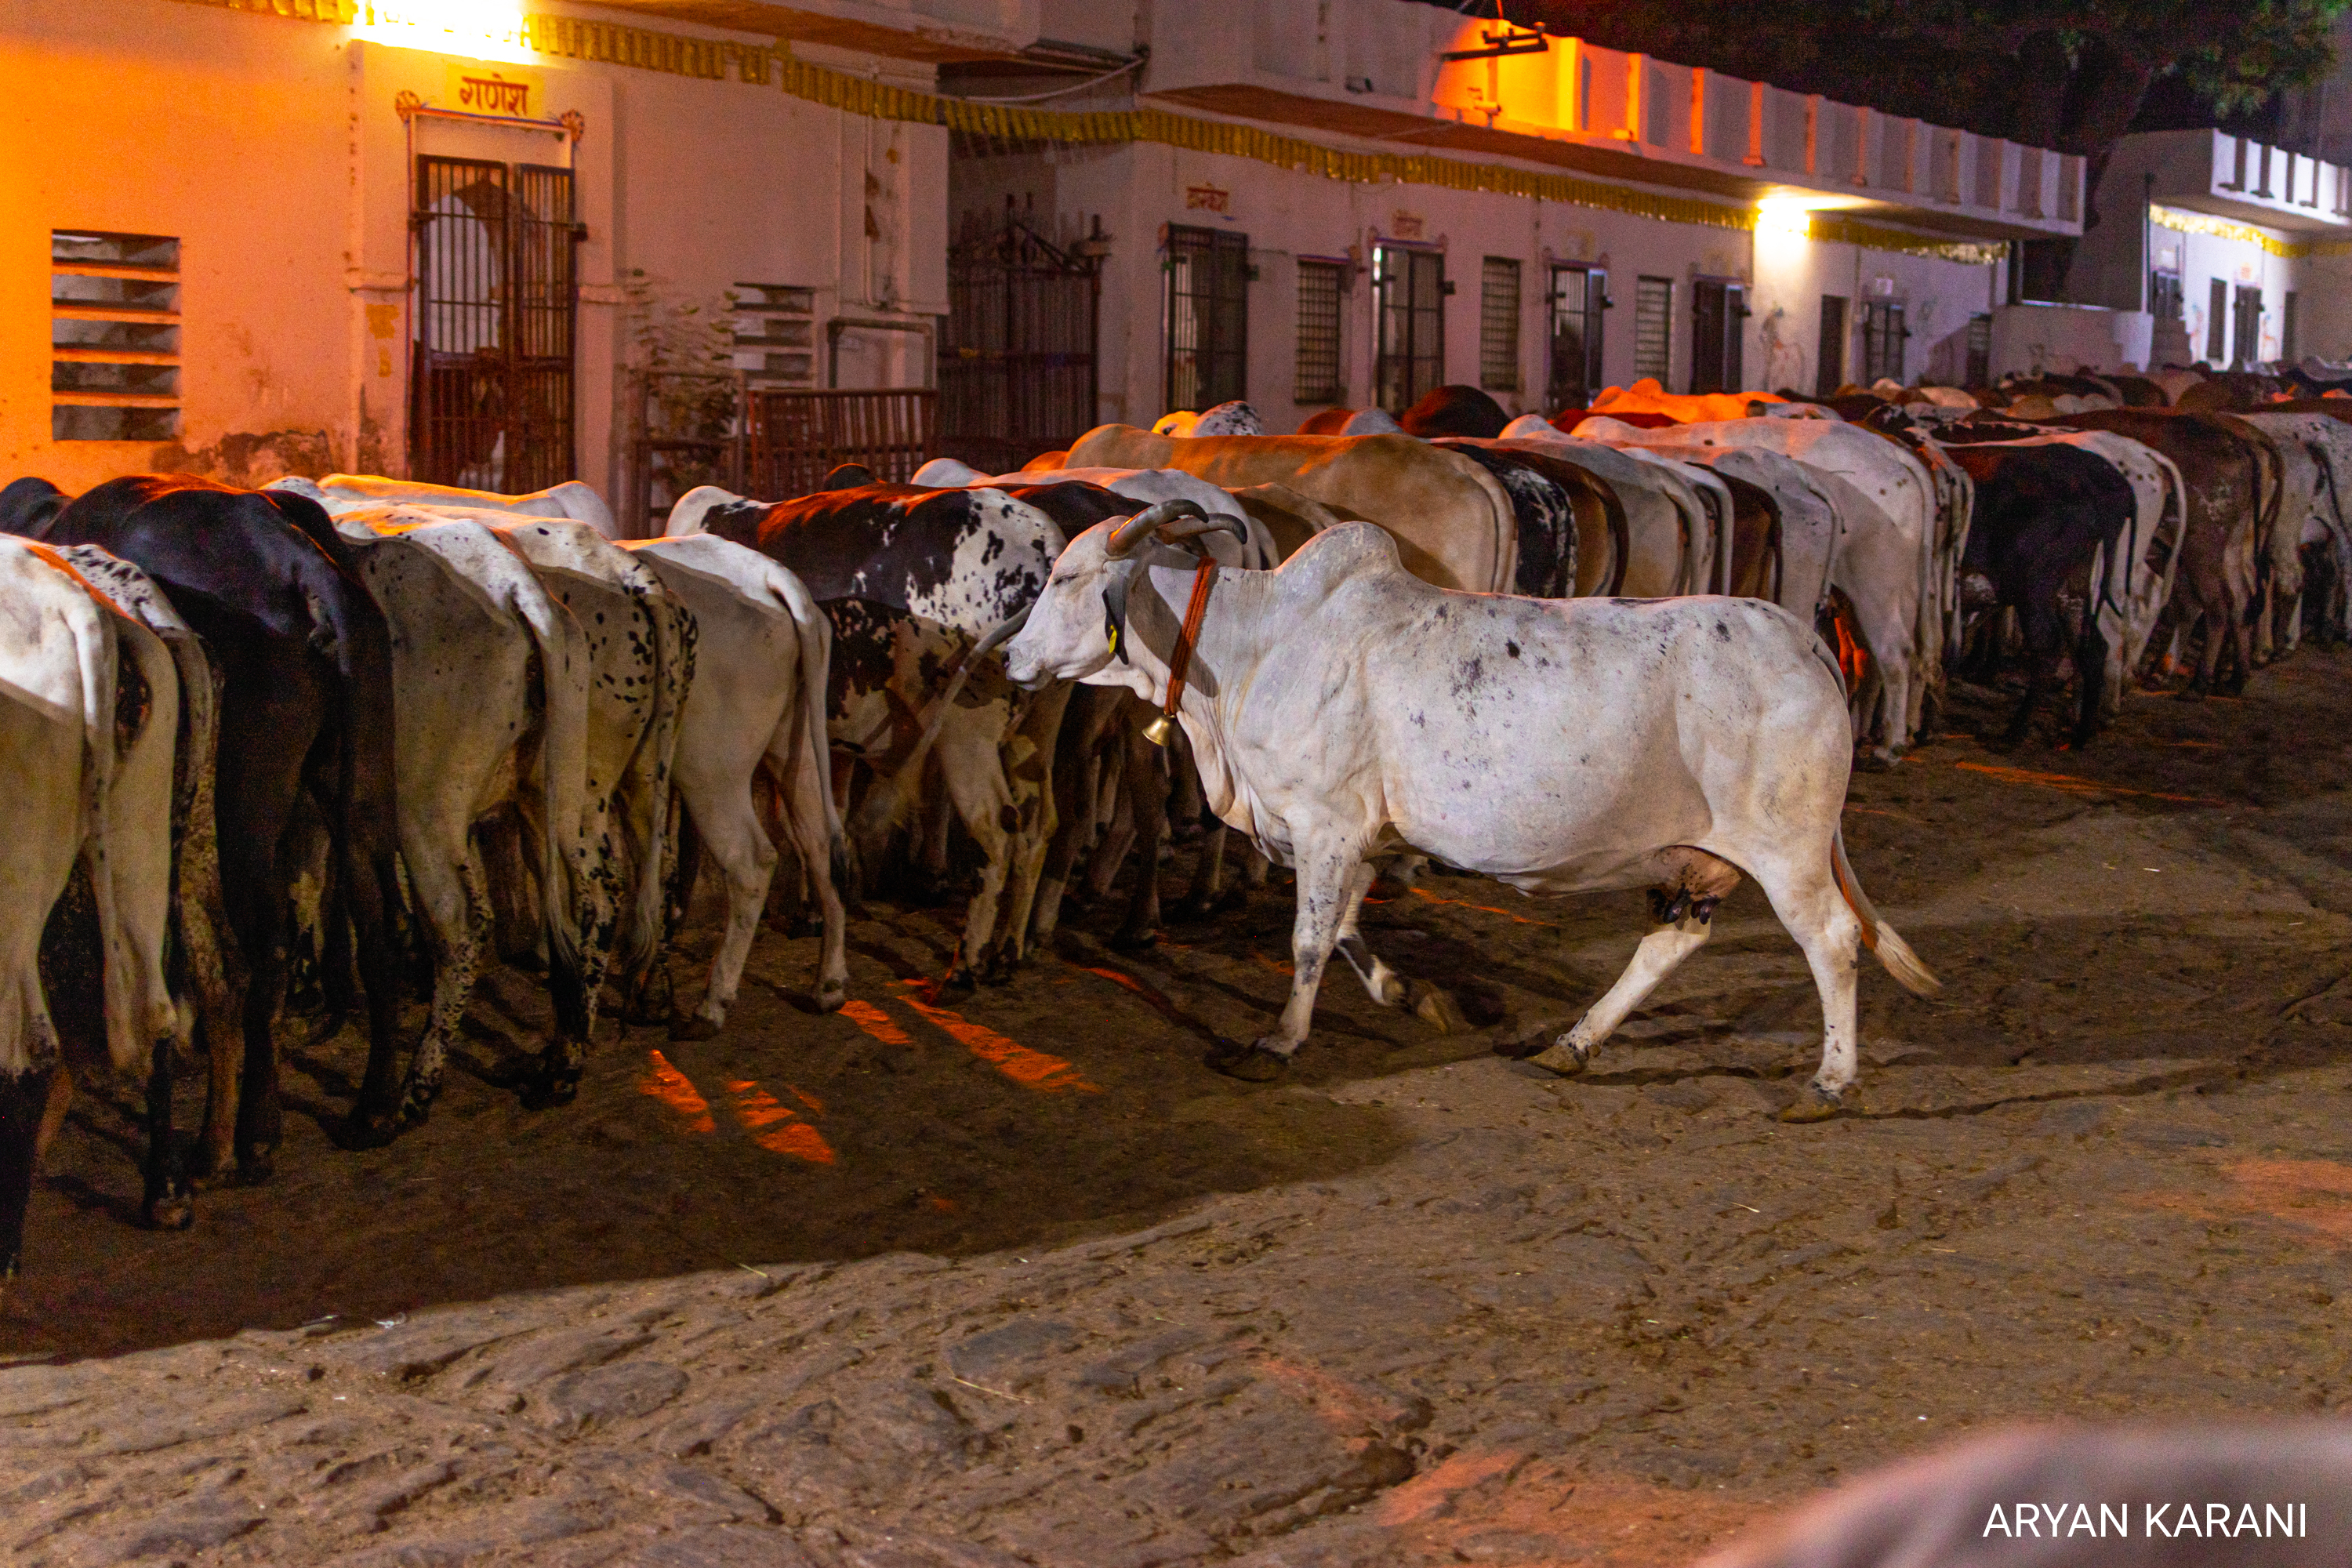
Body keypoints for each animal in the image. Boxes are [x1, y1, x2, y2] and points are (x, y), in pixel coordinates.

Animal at [7, 476, 405, 1173]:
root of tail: (298, 563)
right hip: (358, 786)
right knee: (374, 923)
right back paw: (373, 1108)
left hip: (242, 806)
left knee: (265, 948)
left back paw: (252, 1131)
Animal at [999, 502, 1938, 1117]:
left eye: (1063, 576)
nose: (1008, 659)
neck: (1252, 647)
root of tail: (1806, 638)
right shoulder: (1361, 834)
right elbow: (1346, 929)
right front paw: (1413, 995)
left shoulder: (1325, 822)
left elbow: (1308, 939)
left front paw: (1279, 1042)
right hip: (1699, 862)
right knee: (1672, 942)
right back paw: (1575, 1043)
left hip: (1788, 848)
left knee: (1832, 942)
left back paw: (1829, 1082)